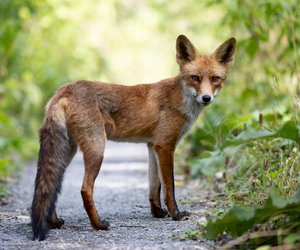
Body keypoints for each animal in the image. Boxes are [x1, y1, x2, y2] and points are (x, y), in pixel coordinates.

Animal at [31, 34, 237, 240]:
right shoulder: (165, 145)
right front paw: (176, 214)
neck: (180, 100)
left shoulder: (152, 145)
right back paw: (98, 224)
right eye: (195, 78)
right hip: (97, 148)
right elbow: (169, 186)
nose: (206, 98)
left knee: (50, 185)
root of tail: (64, 90)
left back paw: (54, 222)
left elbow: (155, 186)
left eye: (215, 79)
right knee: (85, 189)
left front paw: (158, 213)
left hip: (68, 150)